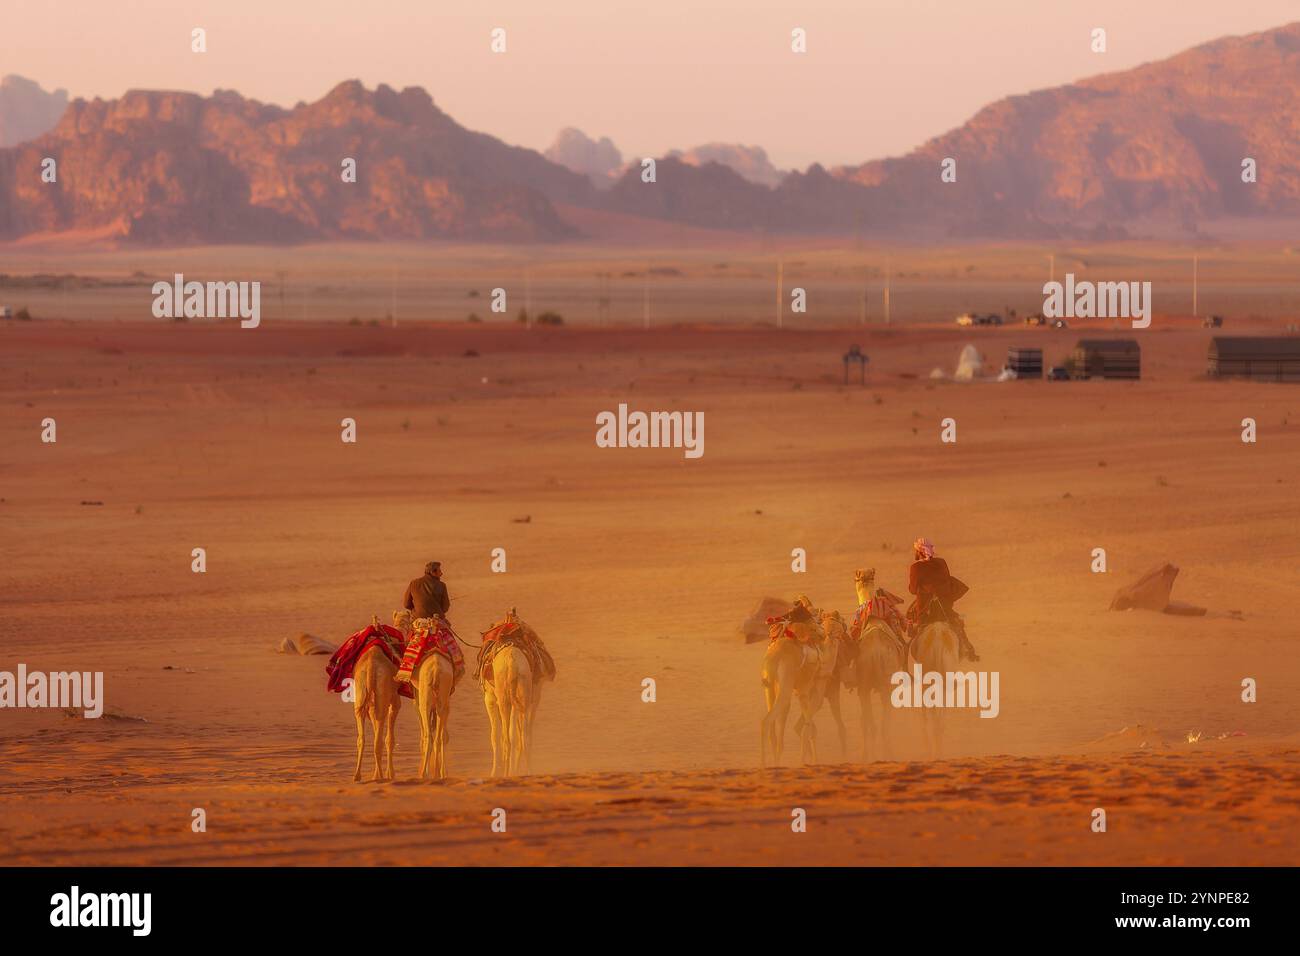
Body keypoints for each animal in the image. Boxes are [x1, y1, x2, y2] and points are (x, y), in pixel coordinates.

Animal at [353, 616, 403, 780]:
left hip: (361, 693)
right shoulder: (394, 700)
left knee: (362, 738)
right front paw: (391, 773)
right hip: (382, 692)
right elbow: (389, 739)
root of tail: (370, 666)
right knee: (378, 740)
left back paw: (358, 775)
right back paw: (380, 777)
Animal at [759, 606, 837, 770]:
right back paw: (763, 764)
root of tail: (774, 656)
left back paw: (774, 764)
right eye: (835, 619)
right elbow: (809, 728)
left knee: (773, 731)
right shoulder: (812, 693)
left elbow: (802, 728)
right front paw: (809, 761)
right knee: (766, 722)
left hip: (770, 686)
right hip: (785, 688)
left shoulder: (802, 693)